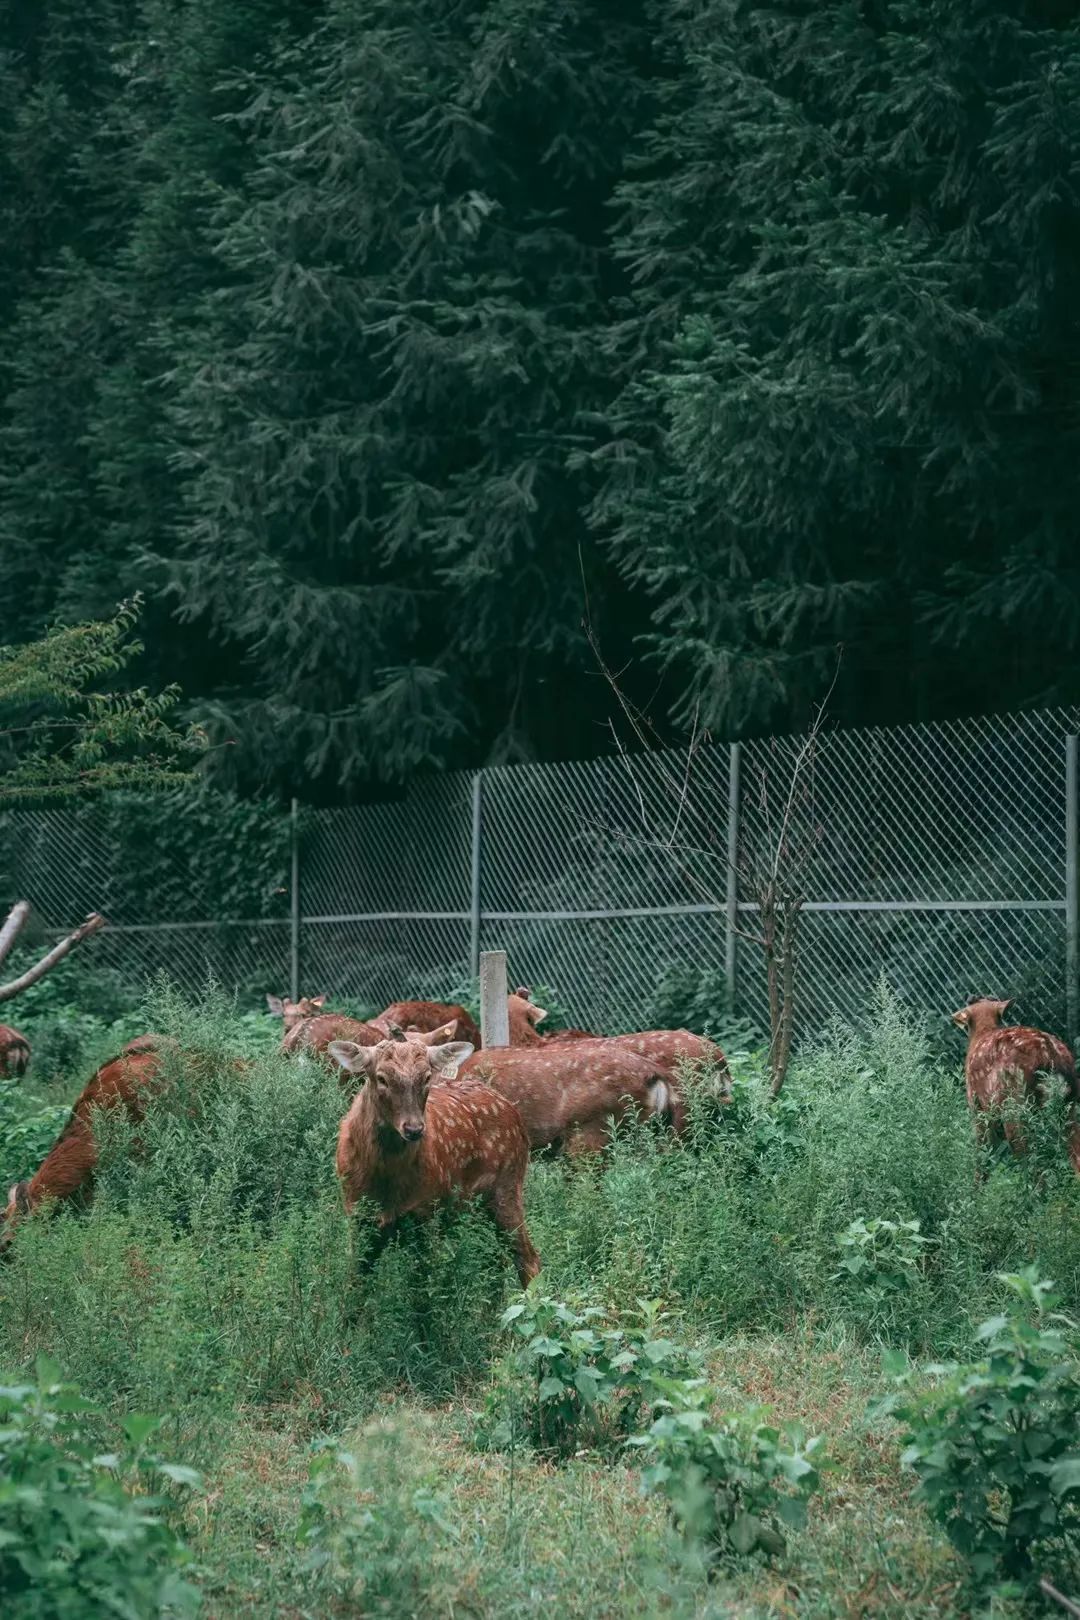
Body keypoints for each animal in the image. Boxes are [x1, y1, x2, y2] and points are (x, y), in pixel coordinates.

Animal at [327, 1023, 540, 1289]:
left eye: (427, 1077)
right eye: (381, 1078)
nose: (414, 1129)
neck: (387, 1184)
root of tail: (515, 1112)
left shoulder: (427, 1210)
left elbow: (426, 1288)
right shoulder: (357, 1213)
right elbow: (354, 1283)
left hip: (508, 1184)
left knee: (527, 1257)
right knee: (496, 1262)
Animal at [952, 991, 1080, 1172]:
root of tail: (1049, 1054)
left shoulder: (978, 1107)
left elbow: (982, 1159)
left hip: (1014, 1108)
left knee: (1033, 1166)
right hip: (1068, 1106)